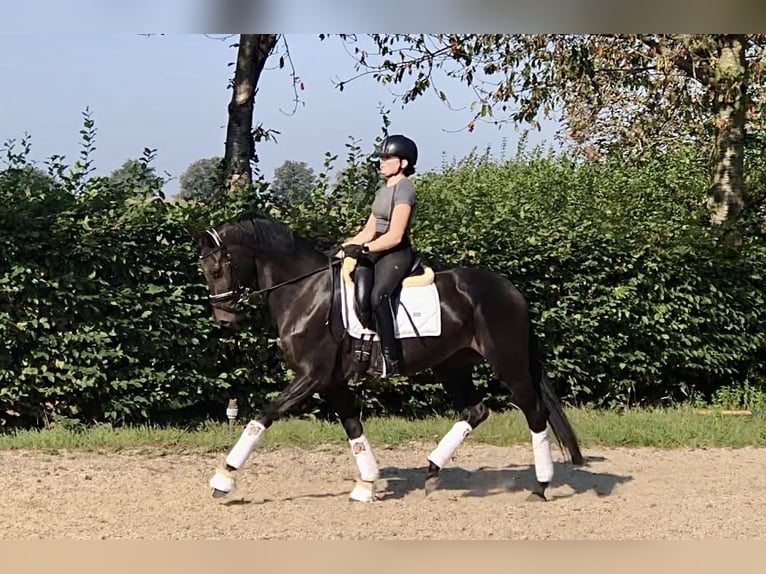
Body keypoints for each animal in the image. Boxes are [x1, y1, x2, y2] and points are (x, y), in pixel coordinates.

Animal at [195, 213, 584, 504]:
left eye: (217, 269)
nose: (223, 319)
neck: (305, 292)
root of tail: (510, 289)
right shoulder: (331, 381)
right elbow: (353, 426)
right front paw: (366, 484)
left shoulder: (311, 376)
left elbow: (263, 416)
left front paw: (223, 479)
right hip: (453, 365)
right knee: (476, 411)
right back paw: (432, 470)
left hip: (509, 363)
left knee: (535, 413)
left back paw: (541, 486)